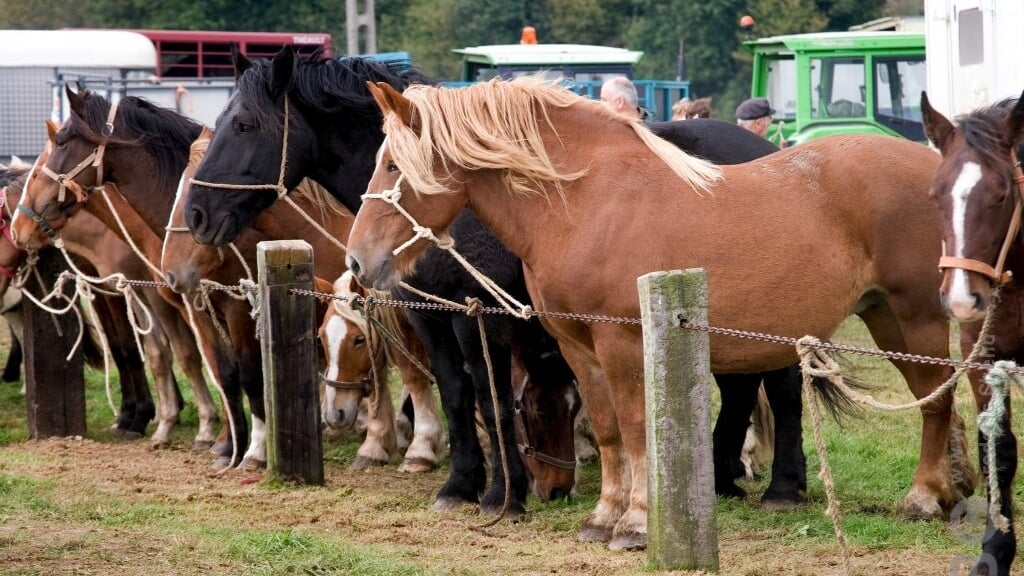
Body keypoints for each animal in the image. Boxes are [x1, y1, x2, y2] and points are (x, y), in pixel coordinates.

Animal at [342, 77, 966, 545]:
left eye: (394, 166)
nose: (356, 259)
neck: (585, 203)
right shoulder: (578, 346)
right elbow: (608, 431)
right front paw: (602, 517)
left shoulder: (622, 342)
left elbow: (637, 428)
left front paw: (637, 523)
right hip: (882, 317)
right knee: (929, 397)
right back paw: (950, 490)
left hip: (917, 317)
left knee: (937, 401)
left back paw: (922, 497)